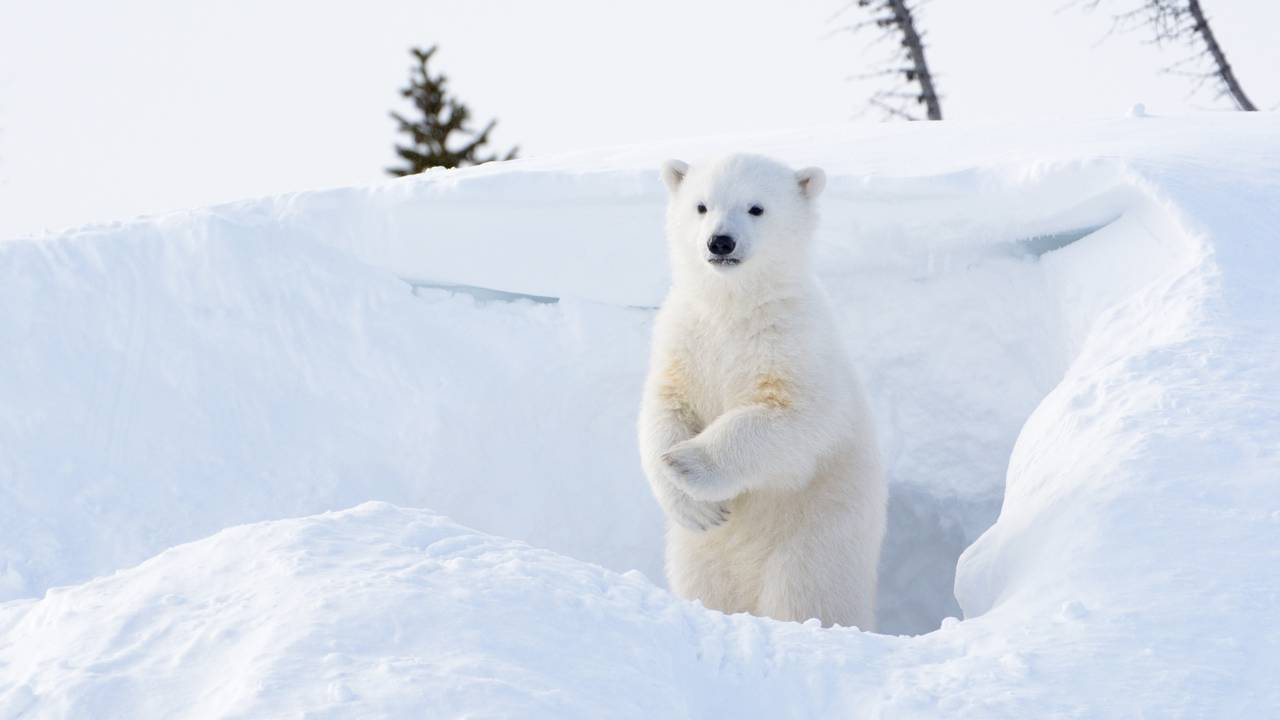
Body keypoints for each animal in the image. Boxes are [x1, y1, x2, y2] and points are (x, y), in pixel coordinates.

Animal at [637, 154, 887, 630]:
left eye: (756, 208)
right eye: (702, 205)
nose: (720, 242)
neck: (733, 308)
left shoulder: (794, 345)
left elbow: (792, 420)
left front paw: (687, 463)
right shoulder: (684, 338)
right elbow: (664, 407)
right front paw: (693, 502)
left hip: (815, 539)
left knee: (805, 595)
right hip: (698, 555)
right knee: (704, 583)